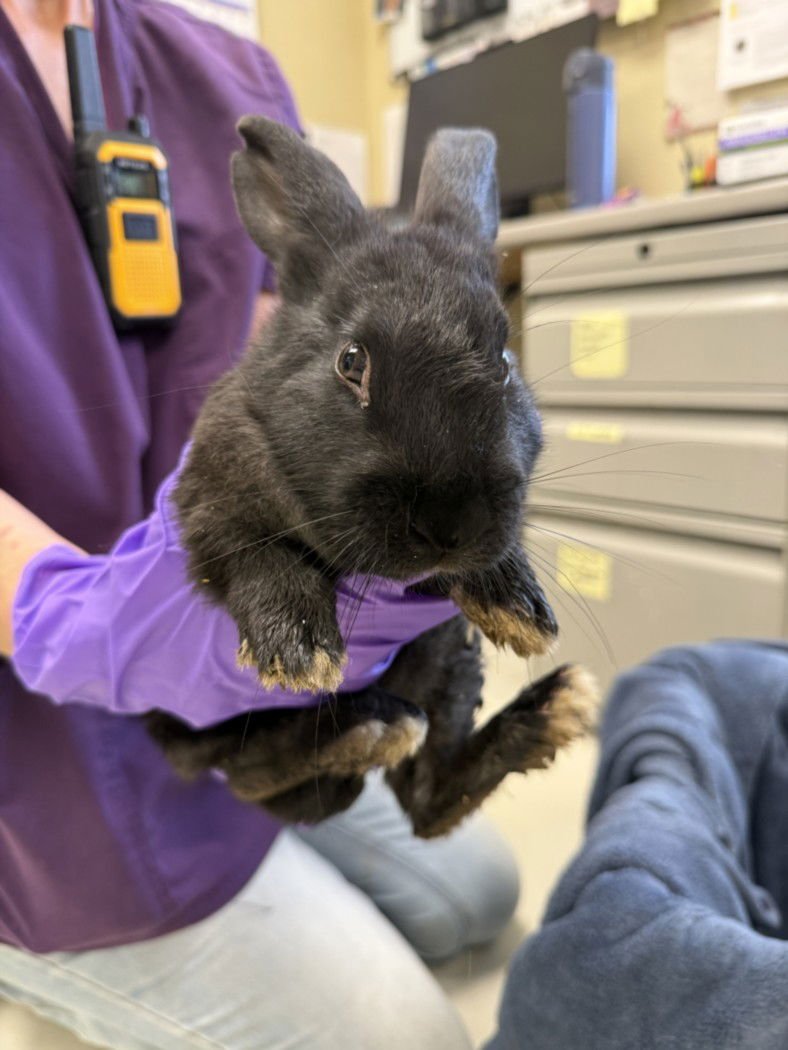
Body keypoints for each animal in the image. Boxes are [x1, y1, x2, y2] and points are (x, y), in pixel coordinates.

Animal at [146, 116, 596, 838]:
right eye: (351, 361)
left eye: (504, 361)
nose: (449, 523)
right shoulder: (203, 504)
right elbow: (252, 553)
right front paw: (299, 651)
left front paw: (518, 607)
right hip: (200, 730)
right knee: (248, 770)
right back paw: (369, 726)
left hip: (450, 657)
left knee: (427, 799)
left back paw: (551, 709)